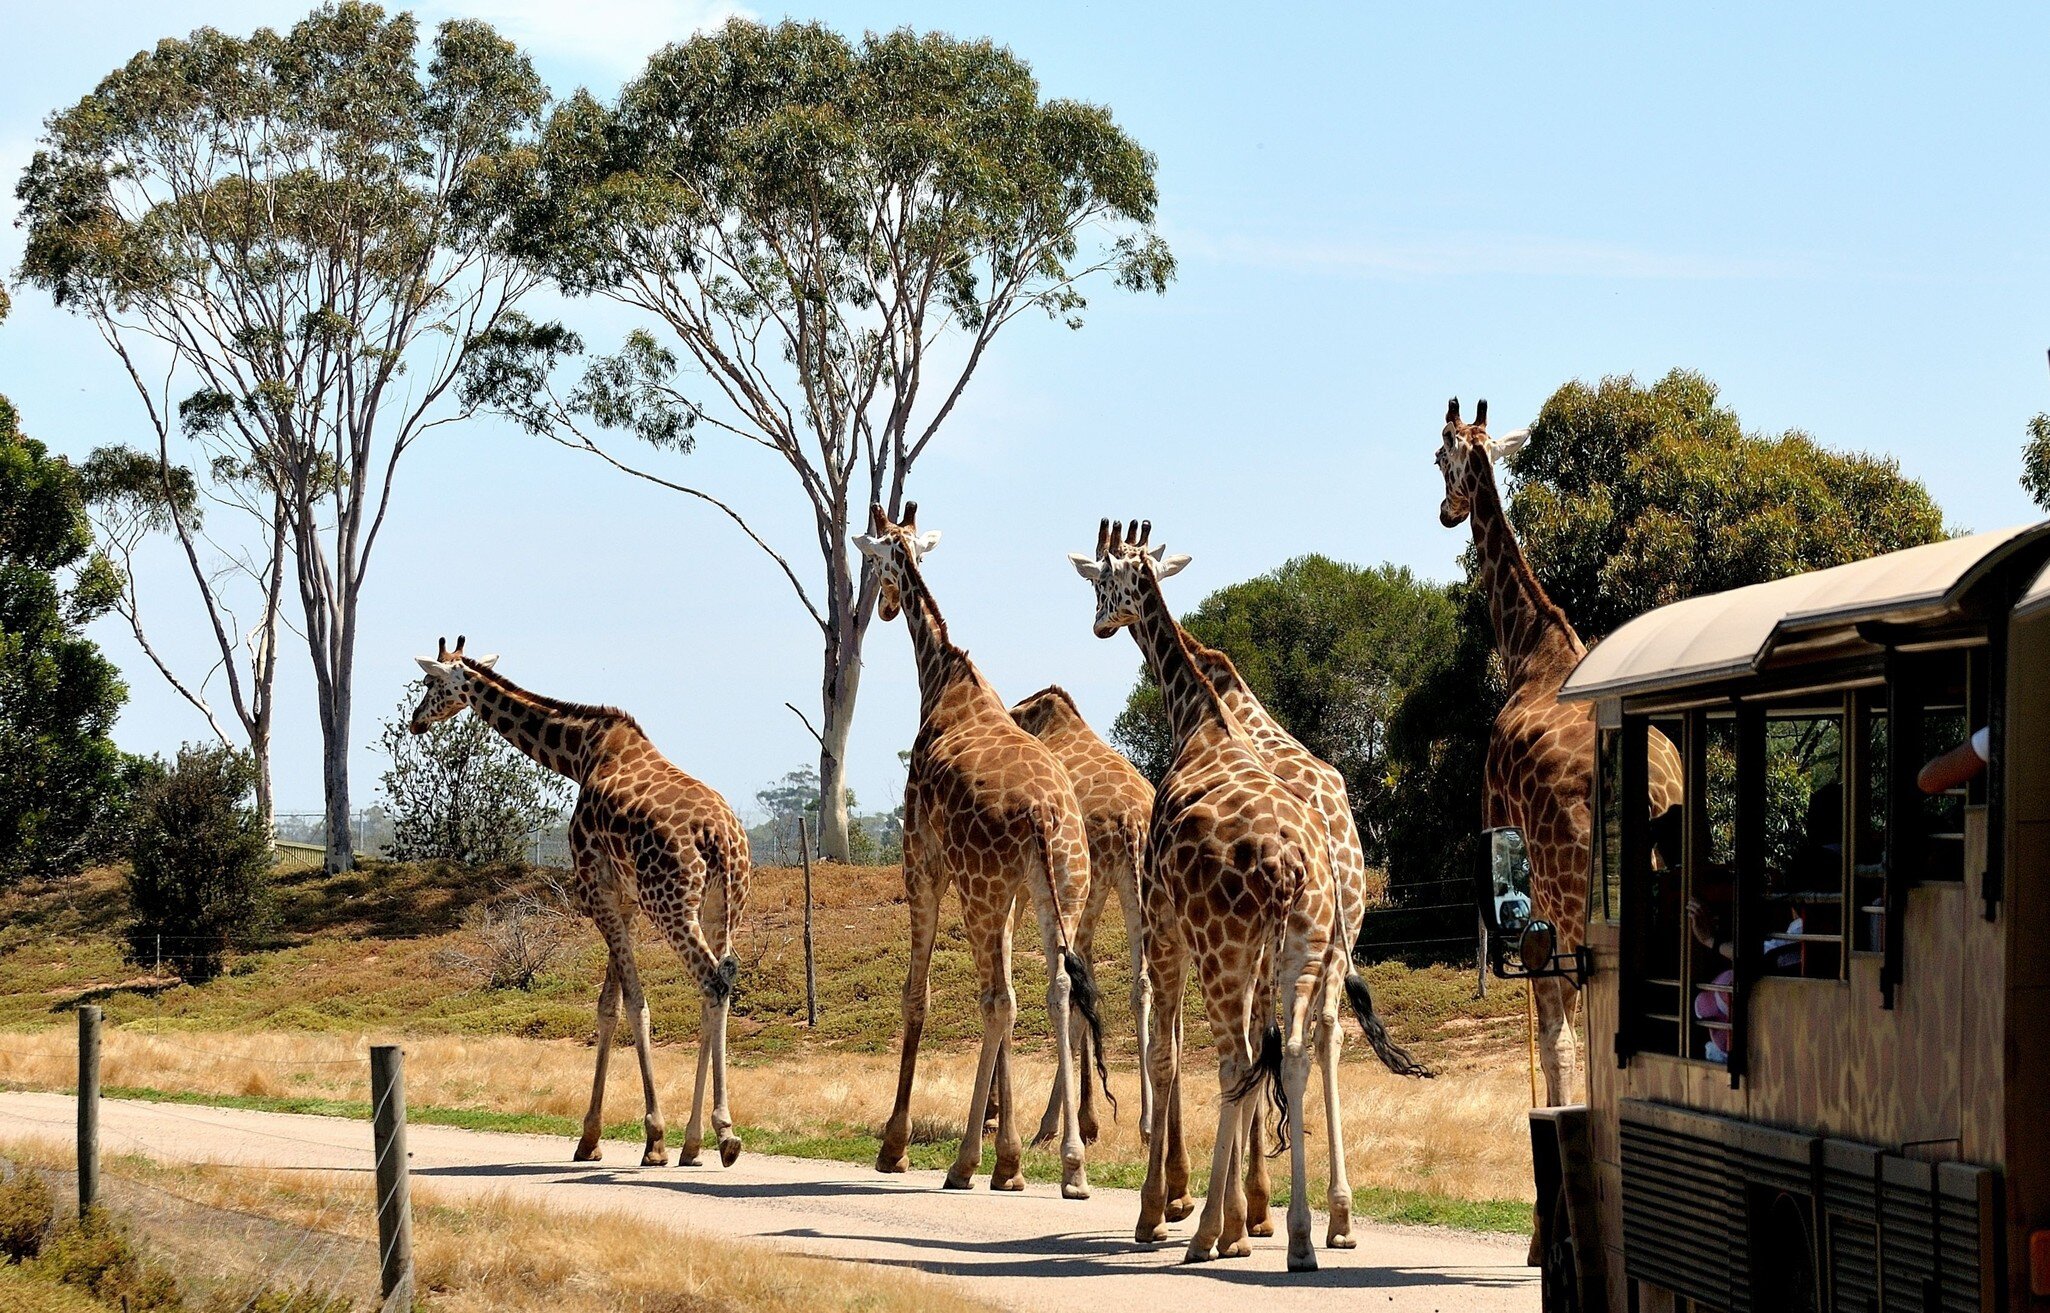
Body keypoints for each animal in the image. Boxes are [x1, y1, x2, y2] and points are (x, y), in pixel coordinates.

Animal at [408, 637, 749, 1167]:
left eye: (430, 682)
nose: (415, 721)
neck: (582, 754)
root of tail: (719, 837)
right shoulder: (623, 900)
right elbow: (608, 1006)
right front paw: (590, 1138)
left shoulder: (596, 891)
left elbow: (633, 1004)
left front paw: (653, 1138)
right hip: (721, 908)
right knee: (720, 985)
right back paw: (697, 1142)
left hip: (672, 907)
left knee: (711, 982)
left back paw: (722, 1134)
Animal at [858, 504, 1111, 1200]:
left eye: (873, 560)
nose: (882, 608)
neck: (944, 681)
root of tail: (1046, 817)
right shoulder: (1017, 896)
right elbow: (1022, 997)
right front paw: (1011, 1156)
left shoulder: (922, 864)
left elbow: (915, 993)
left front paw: (896, 1147)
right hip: (1058, 889)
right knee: (1053, 989)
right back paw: (1068, 1166)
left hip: (979, 890)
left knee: (996, 1000)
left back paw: (967, 1161)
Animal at [1007, 685, 1154, 1149]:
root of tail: (1132, 822)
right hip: (1136, 886)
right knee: (1141, 985)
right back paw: (1148, 1123)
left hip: (1090, 887)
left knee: (1077, 984)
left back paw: (1056, 1124)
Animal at [1072, 518, 1347, 1271]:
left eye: (1103, 579)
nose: (1099, 625)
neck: (1198, 715)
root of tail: (1291, 866)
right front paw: (1236, 1220)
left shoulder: (1164, 918)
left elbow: (1167, 1053)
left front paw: (1163, 1212)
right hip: (1302, 945)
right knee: (1295, 1051)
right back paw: (1304, 1235)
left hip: (1223, 948)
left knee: (1235, 1060)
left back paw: (1205, 1236)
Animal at [1435, 397, 1682, 1106]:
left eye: (1437, 457)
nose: (1445, 512)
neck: (1530, 651)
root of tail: (1653, 794)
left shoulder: (1503, 836)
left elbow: (1555, 1038)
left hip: (1574, 904)